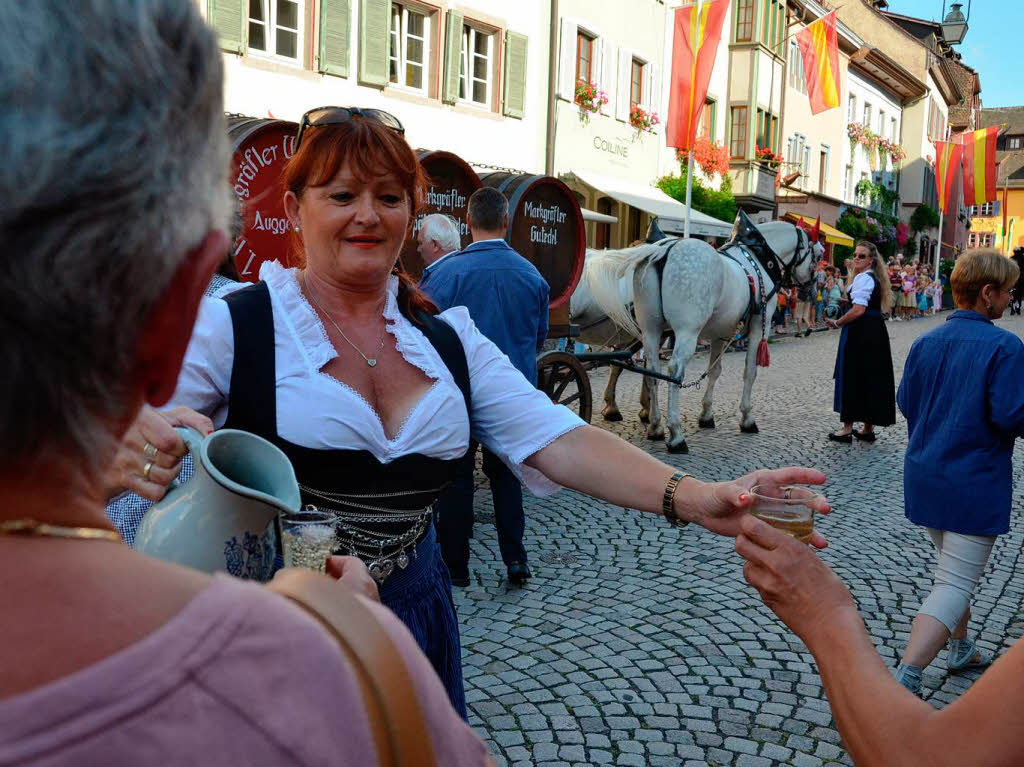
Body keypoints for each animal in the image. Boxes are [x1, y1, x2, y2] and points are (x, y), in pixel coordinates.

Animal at [581, 218, 819, 452]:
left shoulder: (720, 333)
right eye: (818, 255)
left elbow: (714, 371)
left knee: (652, 372)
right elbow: (750, 372)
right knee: (674, 370)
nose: (810, 289)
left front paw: (706, 415)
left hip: (650, 329)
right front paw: (747, 418)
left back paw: (656, 426)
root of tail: (663, 249)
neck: (757, 262)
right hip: (687, 332)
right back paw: (675, 434)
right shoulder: (759, 326)